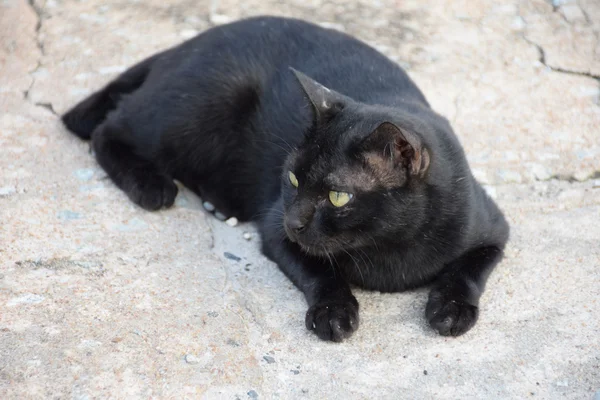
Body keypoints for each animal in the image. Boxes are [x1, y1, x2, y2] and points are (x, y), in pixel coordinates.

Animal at [63, 15, 508, 340]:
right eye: (292, 179)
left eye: (338, 197)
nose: (294, 221)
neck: (390, 247)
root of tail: (187, 43)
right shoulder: (275, 231)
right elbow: (321, 272)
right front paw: (333, 312)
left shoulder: (494, 229)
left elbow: (469, 270)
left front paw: (451, 309)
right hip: (204, 101)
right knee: (109, 127)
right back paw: (152, 186)